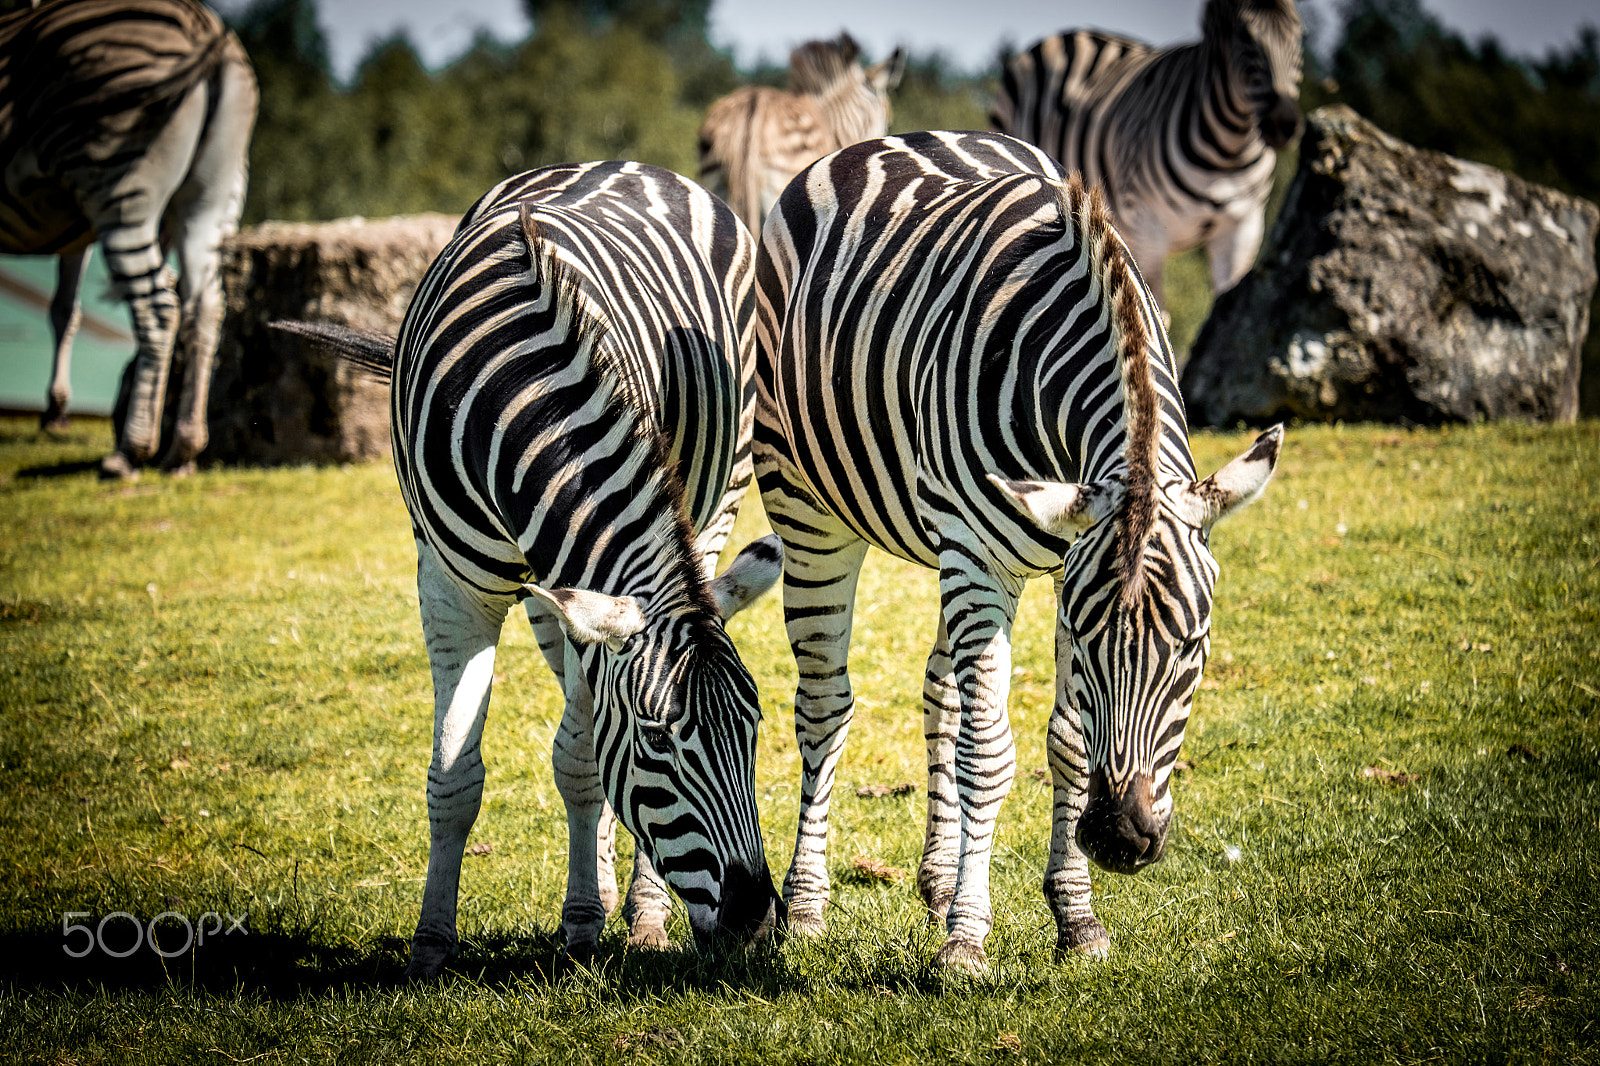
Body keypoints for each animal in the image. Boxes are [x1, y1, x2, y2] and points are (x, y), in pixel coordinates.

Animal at [0, 0, 256, 473]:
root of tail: (204, 27)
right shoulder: (76, 234)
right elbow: (64, 308)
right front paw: (55, 412)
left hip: (117, 184)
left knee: (157, 309)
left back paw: (130, 450)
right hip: (210, 200)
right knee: (205, 305)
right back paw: (183, 447)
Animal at [288, 160, 793, 979]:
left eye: (753, 730)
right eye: (657, 739)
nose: (755, 924)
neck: (521, 394)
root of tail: (628, 164)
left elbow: (582, 760)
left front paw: (586, 922)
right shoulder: (451, 585)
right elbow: (455, 774)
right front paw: (431, 944)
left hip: (715, 492)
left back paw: (639, 910)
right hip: (546, 591)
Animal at [752, 128, 1286, 966]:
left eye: (1194, 647)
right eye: (1097, 647)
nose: (1120, 838)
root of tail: (897, 137)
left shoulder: (1062, 565)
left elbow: (1064, 741)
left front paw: (1077, 918)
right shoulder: (978, 553)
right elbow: (990, 753)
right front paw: (968, 939)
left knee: (939, 688)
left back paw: (938, 879)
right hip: (808, 506)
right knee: (825, 708)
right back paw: (807, 905)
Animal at [992, 0, 1305, 307]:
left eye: (1299, 36)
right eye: (1244, 36)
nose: (1284, 124)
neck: (1228, 153)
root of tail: (1070, 34)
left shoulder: (1244, 227)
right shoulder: (1148, 228)